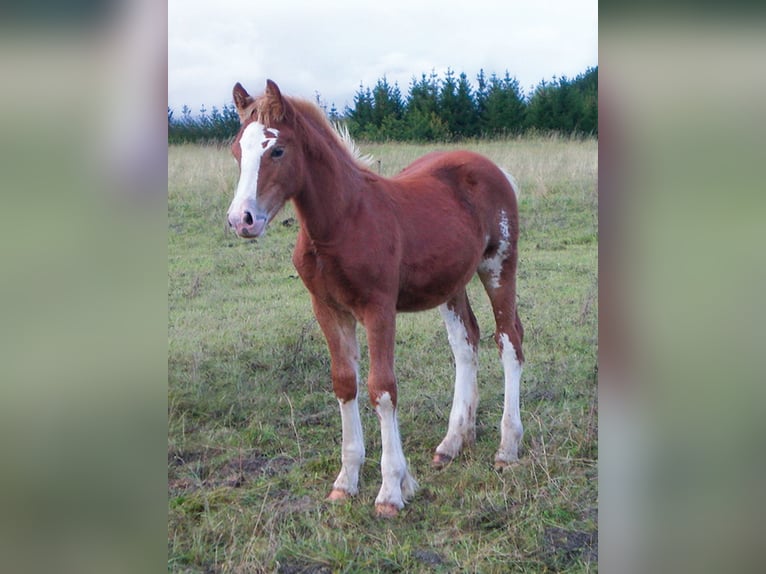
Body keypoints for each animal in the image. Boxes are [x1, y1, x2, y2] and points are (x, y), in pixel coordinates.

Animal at [228, 80, 524, 516]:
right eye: (237, 151)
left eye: (276, 150)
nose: (241, 220)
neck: (341, 222)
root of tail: (494, 168)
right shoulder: (328, 309)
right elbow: (344, 383)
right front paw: (345, 481)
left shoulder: (379, 308)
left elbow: (382, 389)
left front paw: (391, 490)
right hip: (452, 282)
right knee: (466, 343)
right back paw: (453, 442)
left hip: (498, 265)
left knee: (509, 340)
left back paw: (507, 448)